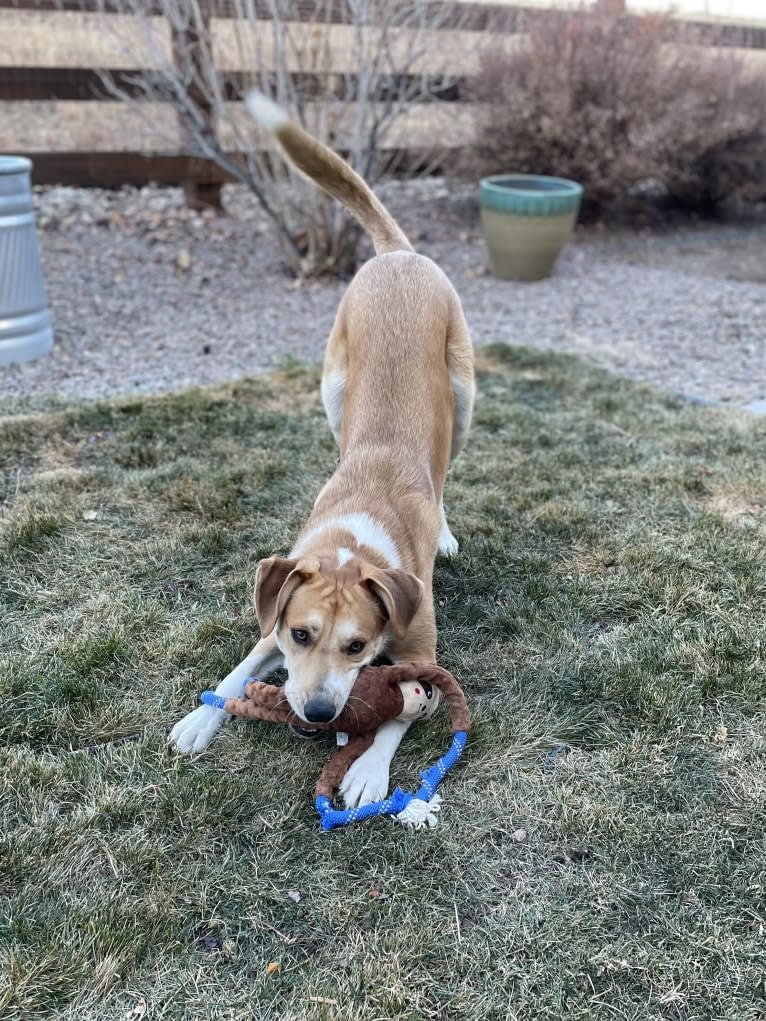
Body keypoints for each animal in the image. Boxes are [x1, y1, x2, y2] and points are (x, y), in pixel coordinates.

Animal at [170, 91, 477, 804]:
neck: (355, 541)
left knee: (448, 471)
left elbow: (406, 704)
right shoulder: (273, 614)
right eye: (301, 633)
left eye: (359, 647)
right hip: (333, 389)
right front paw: (202, 717)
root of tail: (398, 254)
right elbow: (241, 664)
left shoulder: (420, 645)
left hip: (464, 395)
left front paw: (368, 768)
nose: (314, 713)